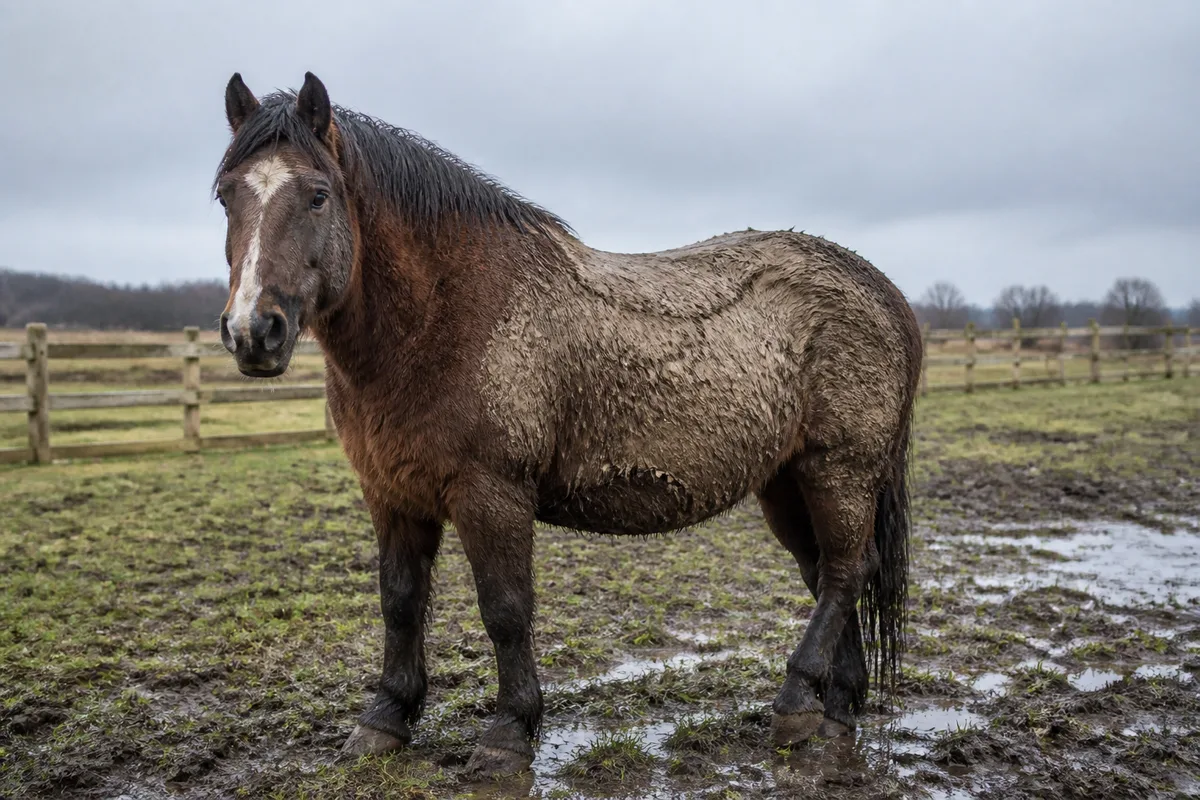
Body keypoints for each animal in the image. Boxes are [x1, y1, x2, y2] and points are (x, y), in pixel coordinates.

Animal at [214, 71, 923, 777]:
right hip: (786, 481)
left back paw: (796, 700)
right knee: (829, 572)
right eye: (226, 196)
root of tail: (879, 287)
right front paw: (386, 718)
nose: (253, 332)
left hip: (840, 470)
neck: (442, 317)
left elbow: (505, 610)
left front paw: (508, 731)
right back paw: (837, 709)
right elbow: (400, 602)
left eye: (318, 196)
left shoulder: (491, 493)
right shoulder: (391, 493)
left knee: (844, 571)